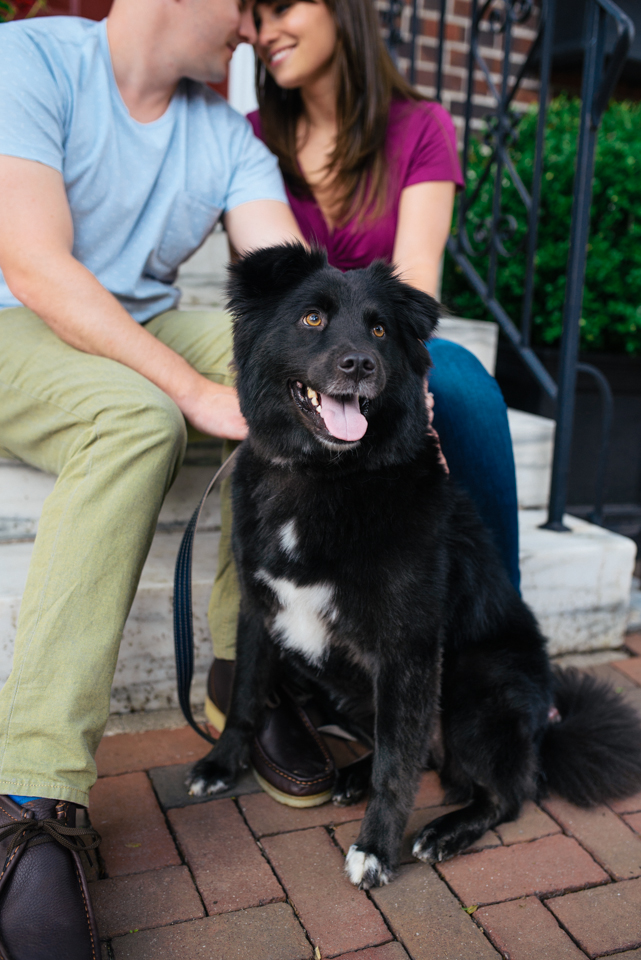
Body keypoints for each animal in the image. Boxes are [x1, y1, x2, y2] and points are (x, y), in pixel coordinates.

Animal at [186, 244, 641, 888]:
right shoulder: (259, 611)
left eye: (379, 330)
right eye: (312, 319)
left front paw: (376, 848)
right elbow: (247, 699)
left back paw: (443, 831)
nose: (360, 364)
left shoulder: (409, 649)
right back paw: (353, 775)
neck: (324, 477)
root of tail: (544, 725)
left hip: (477, 684)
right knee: (418, 748)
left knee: (506, 791)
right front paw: (222, 764)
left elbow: (398, 766)